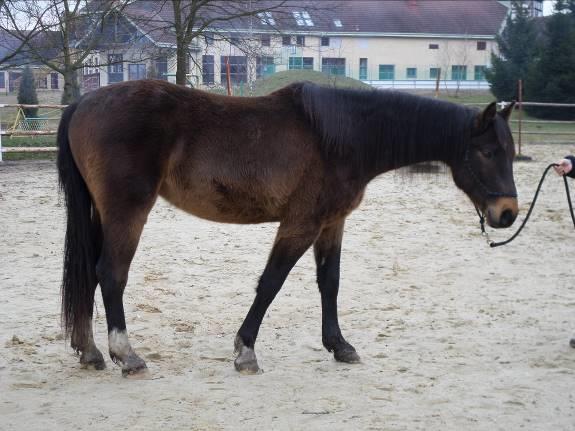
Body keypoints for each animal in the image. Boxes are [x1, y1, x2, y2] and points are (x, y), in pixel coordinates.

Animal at [57, 79, 516, 376]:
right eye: (487, 152)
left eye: (510, 152)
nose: (508, 213)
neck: (345, 136)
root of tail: (83, 103)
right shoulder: (301, 224)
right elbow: (271, 283)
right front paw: (245, 351)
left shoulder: (332, 223)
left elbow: (330, 282)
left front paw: (339, 346)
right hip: (127, 211)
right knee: (111, 274)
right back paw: (126, 355)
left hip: (102, 213)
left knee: (89, 274)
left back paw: (89, 351)